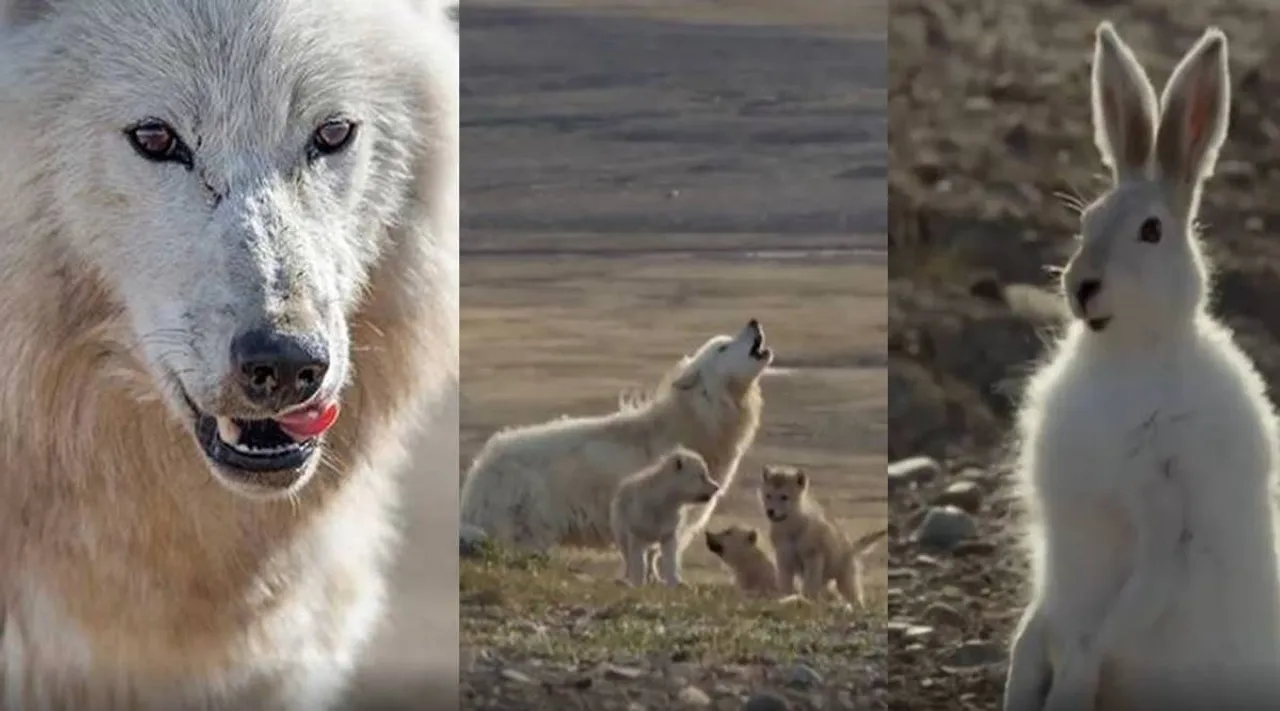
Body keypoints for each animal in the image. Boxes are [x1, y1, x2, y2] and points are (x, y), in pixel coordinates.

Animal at [1003, 22, 1280, 711]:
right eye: (1085, 221)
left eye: (1151, 231)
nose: (1082, 286)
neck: (1124, 355)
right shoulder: (1057, 559)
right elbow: (1033, 632)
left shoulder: (1162, 507)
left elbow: (1099, 636)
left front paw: (1070, 685)